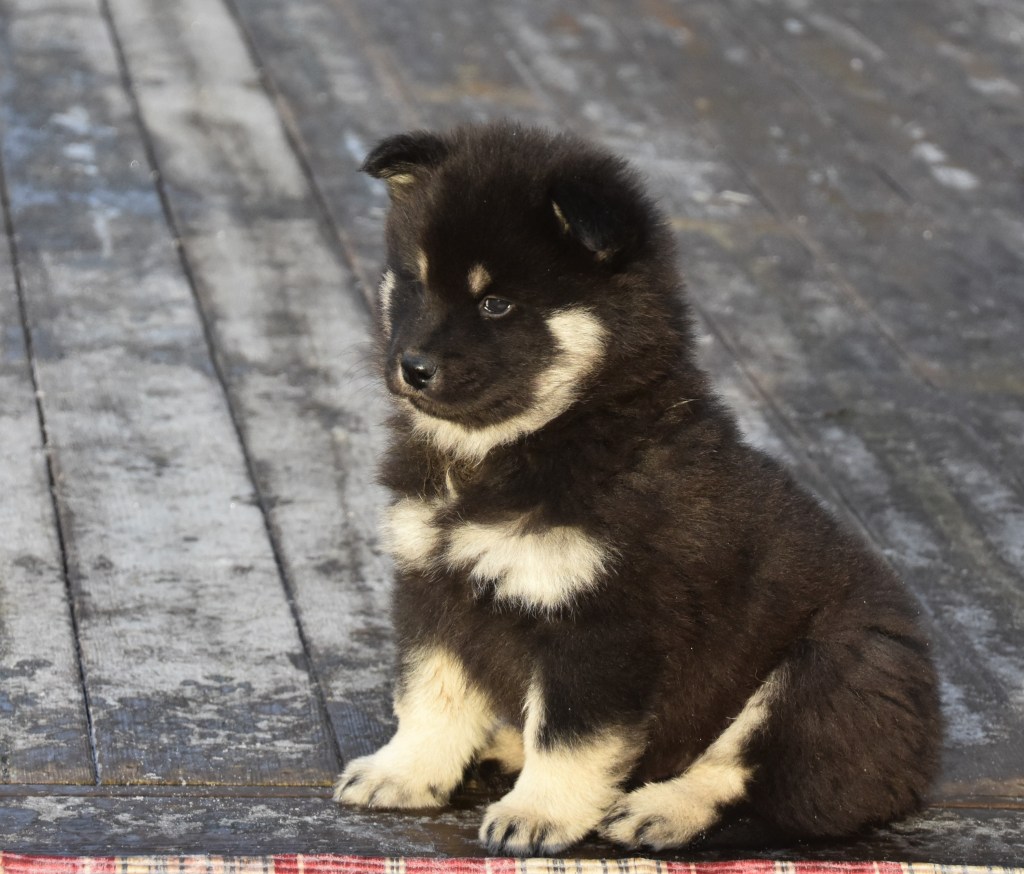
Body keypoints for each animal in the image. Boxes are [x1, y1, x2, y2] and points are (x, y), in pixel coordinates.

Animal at [333, 122, 942, 855]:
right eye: (415, 282)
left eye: (496, 303)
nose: (411, 367)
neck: (540, 436)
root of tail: (922, 759)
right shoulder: (434, 586)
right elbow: (432, 695)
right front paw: (404, 772)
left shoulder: (604, 622)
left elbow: (570, 734)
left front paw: (538, 813)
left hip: (829, 670)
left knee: (749, 776)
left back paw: (658, 809)